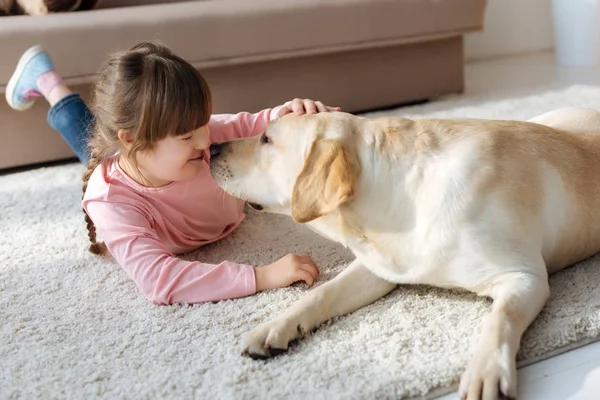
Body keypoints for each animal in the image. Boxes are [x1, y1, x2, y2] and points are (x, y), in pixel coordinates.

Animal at [210, 107, 600, 400]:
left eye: (266, 139)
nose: (212, 147)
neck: (402, 195)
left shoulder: (524, 276)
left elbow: (501, 316)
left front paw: (486, 369)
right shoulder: (379, 267)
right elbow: (322, 293)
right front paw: (275, 326)